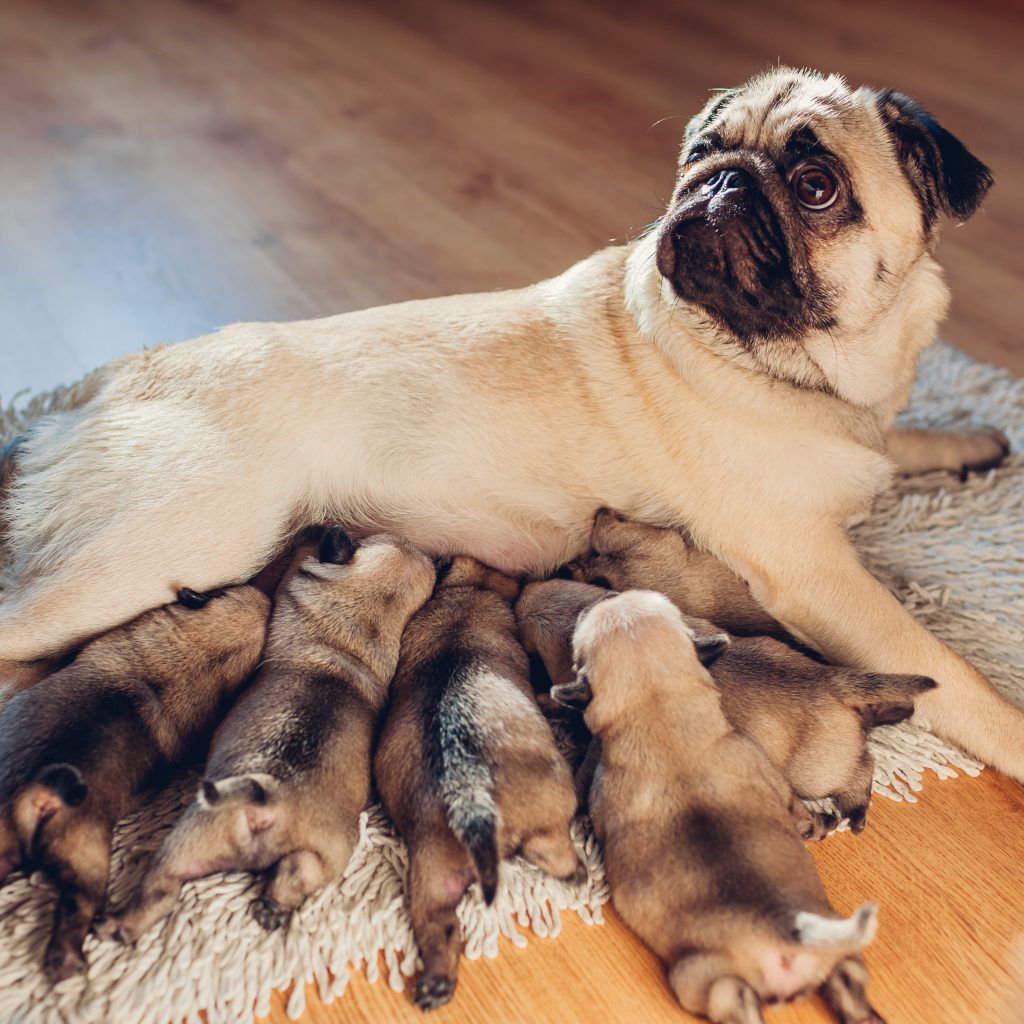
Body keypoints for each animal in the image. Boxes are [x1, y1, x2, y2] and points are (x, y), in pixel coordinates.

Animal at [4, 68, 1019, 782]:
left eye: (814, 186)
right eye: (700, 152)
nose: (720, 185)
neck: (804, 370)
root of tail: (93, 389)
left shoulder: (867, 435)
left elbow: (901, 442)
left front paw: (968, 444)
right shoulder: (818, 575)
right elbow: (950, 672)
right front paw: (1012, 731)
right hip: (176, 541)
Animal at [103, 532, 436, 937]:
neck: (361, 622)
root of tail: (269, 804)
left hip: (198, 838)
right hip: (317, 853)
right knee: (293, 875)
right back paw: (271, 908)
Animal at [374, 557, 585, 1011]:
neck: (470, 592)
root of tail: (470, 797)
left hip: (432, 868)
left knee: (438, 927)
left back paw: (435, 984)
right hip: (554, 802)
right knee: (550, 848)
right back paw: (577, 871)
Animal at [557, 593, 884, 1024]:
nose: (608, 595)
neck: (660, 712)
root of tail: (786, 931)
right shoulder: (769, 775)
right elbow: (798, 810)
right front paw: (816, 826)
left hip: (703, 981)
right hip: (836, 952)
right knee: (848, 988)